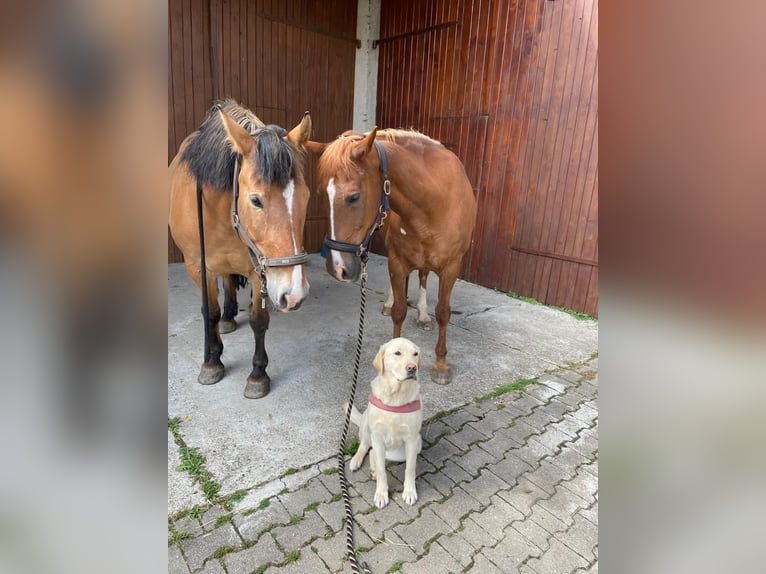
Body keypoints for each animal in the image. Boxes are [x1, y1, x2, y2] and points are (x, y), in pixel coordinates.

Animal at [170, 101, 312, 398]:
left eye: (305, 197)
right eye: (256, 200)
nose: (294, 294)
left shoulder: (258, 268)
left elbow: (259, 319)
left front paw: (258, 375)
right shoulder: (197, 267)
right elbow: (209, 312)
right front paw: (212, 361)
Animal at [308, 128, 476, 384]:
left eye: (354, 197)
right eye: (321, 195)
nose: (337, 268)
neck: (432, 202)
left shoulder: (451, 268)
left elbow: (443, 313)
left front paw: (440, 365)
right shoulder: (398, 262)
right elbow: (398, 311)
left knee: (423, 276)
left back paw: (423, 315)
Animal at [344, 338, 424, 508]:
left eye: (415, 354)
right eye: (397, 353)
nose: (412, 368)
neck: (396, 395)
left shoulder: (412, 440)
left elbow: (410, 468)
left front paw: (409, 492)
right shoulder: (378, 438)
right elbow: (382, 471)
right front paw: (381, 494)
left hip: (412, 446)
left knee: (373, 452)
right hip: (367, 425)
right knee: (366, 446)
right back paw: (357, 460)